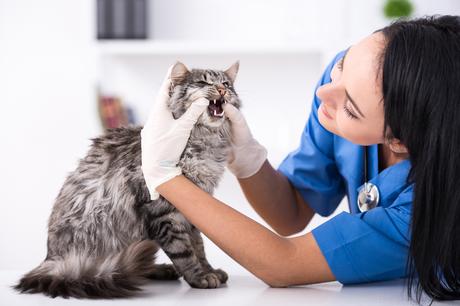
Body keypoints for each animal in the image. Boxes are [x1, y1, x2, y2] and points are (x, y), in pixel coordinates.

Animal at [13, 61, 241, 298]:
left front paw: (209, 270)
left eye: (226, 84)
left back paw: (159, 269)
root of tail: (51, 262)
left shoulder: (193, 208)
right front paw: (199, 277)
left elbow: (199, 246)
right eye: (204, 82)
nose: (222, 90)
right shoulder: (163, 211)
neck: (204, 142)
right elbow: (184, 252)